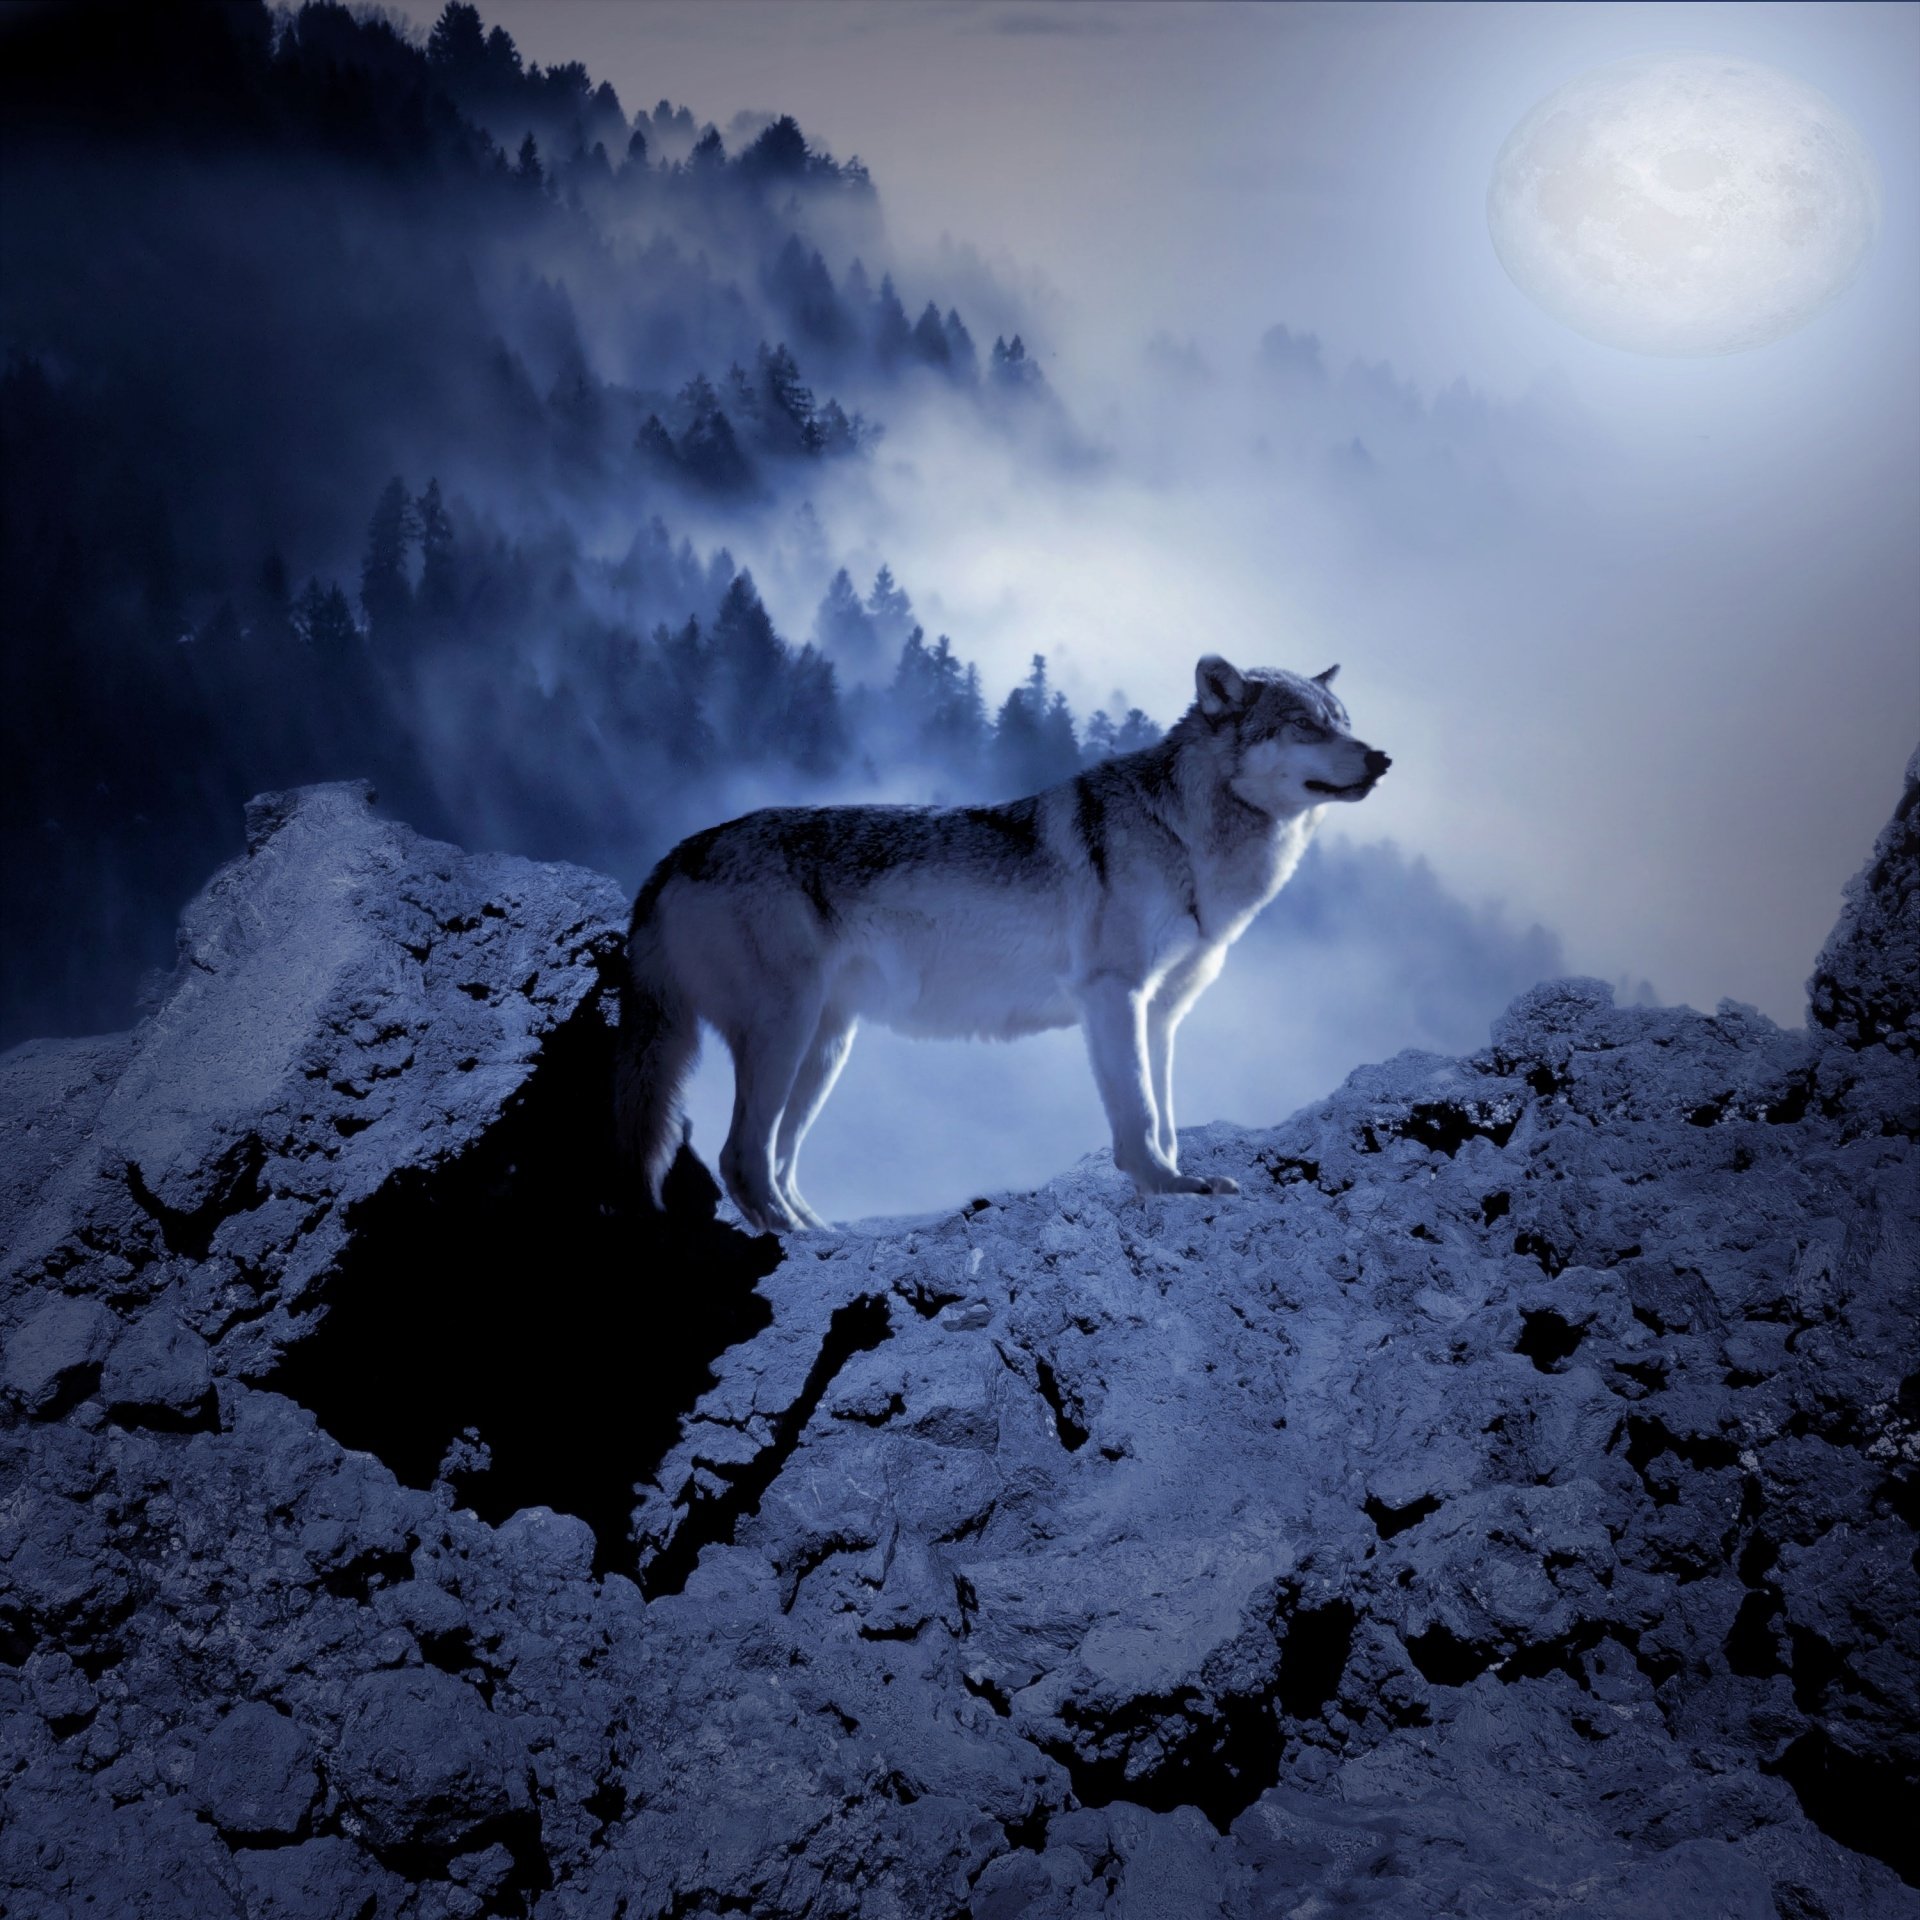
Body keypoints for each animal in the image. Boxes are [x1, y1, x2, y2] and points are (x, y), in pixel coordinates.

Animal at [616, 655, 1390, 1232]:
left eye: (1345, 723)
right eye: (1304, 727)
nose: (1382, 757)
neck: (1185, 836)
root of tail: (674, 855)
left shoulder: (1161, 1013)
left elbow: (1166, 1118)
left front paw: (1176, 1180)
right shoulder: (1113, 998)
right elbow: (1139, 1117)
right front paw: (1164, 1186)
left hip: (826, 1048)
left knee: (776, 1162)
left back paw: (824, 1233)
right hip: (787, 1033)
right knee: (740, 1158)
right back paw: (802, 1244)